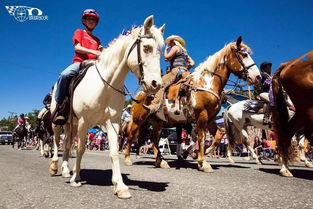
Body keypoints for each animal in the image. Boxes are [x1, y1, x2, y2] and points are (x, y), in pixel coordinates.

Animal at [47, 15, 165, 198]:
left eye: (161, 50)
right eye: (146, 48)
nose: (156, 84)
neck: (106, 85)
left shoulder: (112, 122)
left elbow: (114, 151)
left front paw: (120, 186)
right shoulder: (84, 121)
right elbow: (80, 148)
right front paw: (76, 178)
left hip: (71, 124)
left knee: (66, 143)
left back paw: (66, 169)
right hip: (58, 123)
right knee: (55, 141)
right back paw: (55, 167)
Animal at [124, 36, 260, 172]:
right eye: (244, 55)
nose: (257, 76)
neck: (206, 84)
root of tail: (139, 94)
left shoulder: (210, 119)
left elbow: (217, 136)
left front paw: (201, 154)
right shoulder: (201, 116)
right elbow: (201, 137)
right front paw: (202, 162)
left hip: (157, 121)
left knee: (154, 140)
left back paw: (161, 161)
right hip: (138, 119)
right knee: (131, 136)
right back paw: (127, 158)